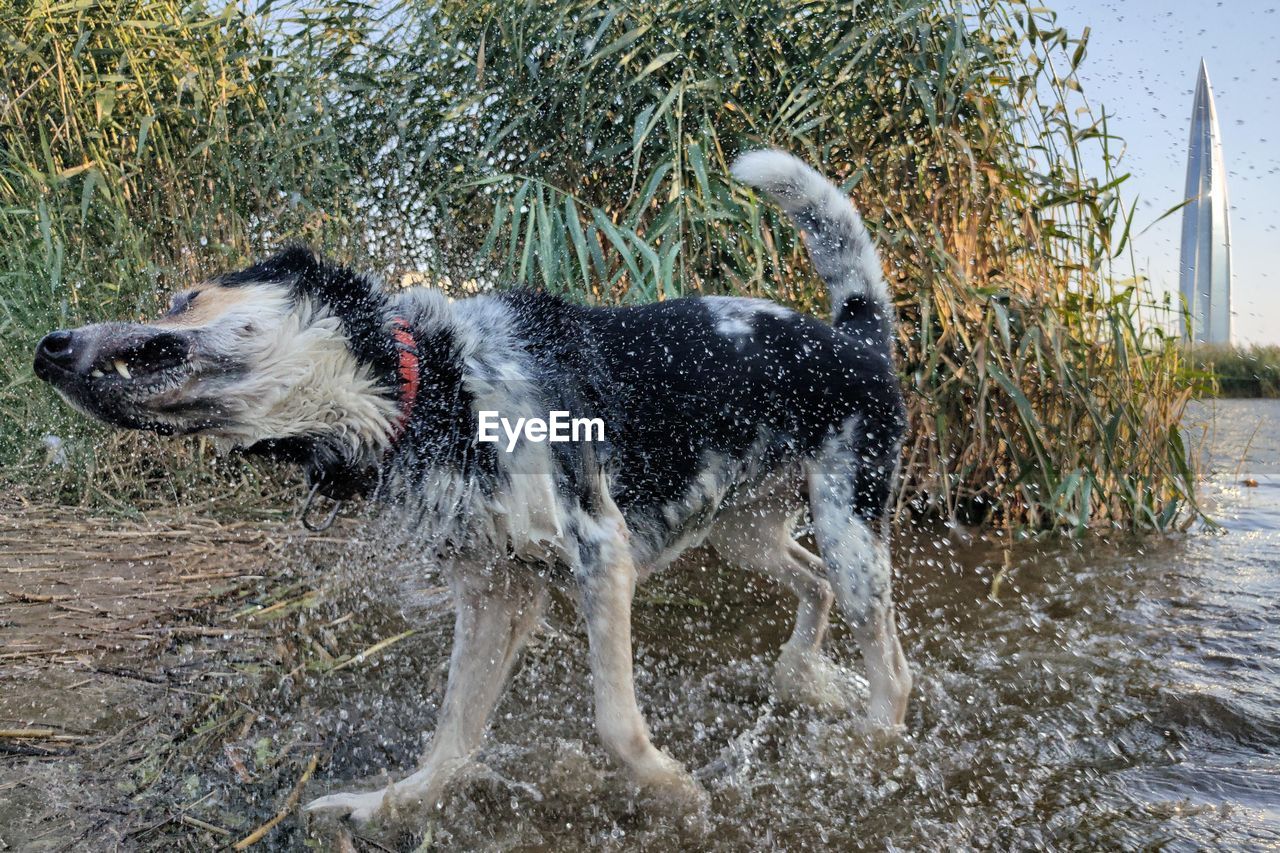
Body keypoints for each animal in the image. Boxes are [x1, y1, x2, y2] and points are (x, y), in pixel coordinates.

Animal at [30, 149, 911, 819]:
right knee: (813, 587)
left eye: (186, 297)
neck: (426, 384)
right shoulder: (496, 585)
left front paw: (676, 791)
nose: (47, 348)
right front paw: (385, 806)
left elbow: (614, 721)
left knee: (890, 664)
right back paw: (805, 679)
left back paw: (870, 744)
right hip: (747, 532)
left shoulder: (600, 553)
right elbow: (453, 729)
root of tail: (855, 335)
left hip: (848, 524)